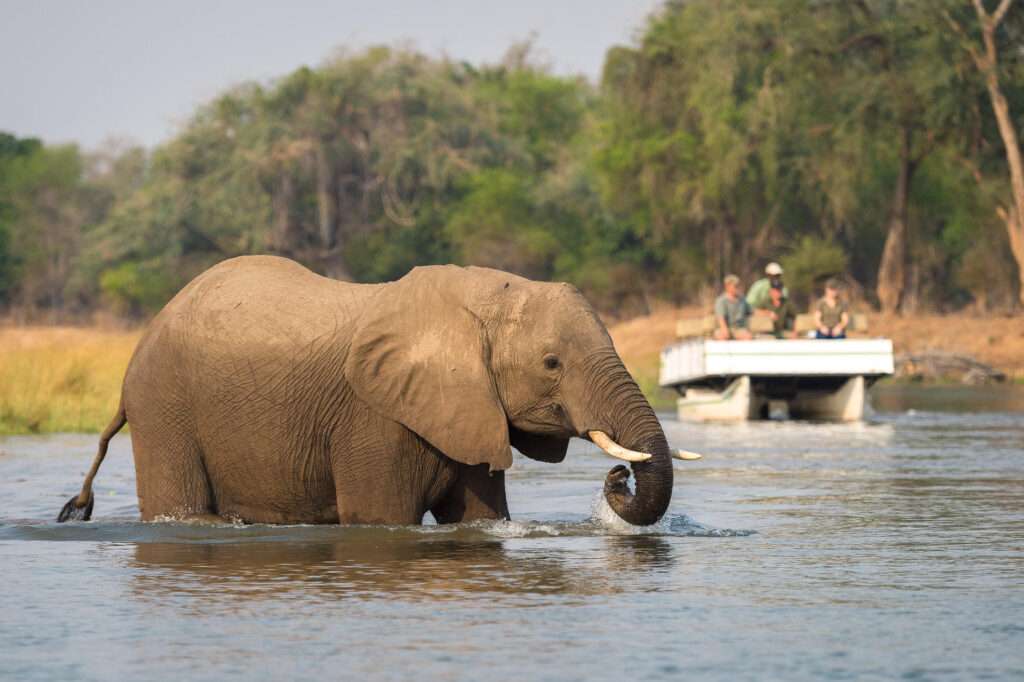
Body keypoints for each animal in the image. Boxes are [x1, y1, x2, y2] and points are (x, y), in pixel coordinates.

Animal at [59, 254, 700, 524]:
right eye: (551, 362)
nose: (617, 478)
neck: (473, 303)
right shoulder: (375, 417)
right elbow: (380, 518)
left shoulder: (468, 410)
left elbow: (478, 518)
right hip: (164, 404)